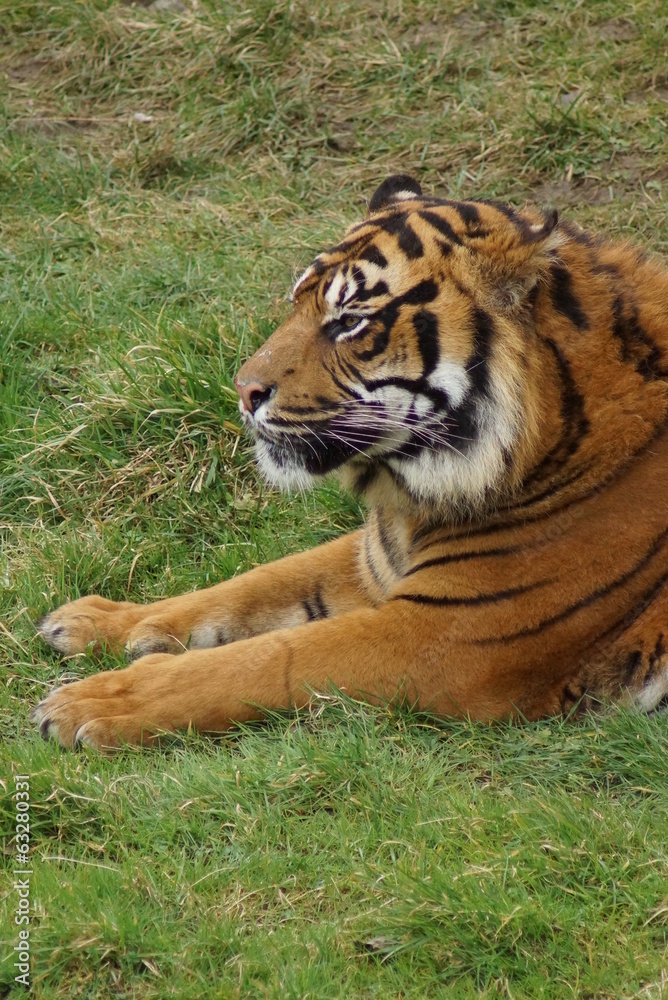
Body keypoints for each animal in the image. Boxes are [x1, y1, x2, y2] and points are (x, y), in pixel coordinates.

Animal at [32, 173, 668, 750]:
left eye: (350, 322)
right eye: (296, 304)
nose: (242, 390)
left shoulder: (446, 636)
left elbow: (268, 657)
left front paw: (92, 701)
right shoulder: (374, 563)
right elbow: (254, 582)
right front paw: (96, 620)